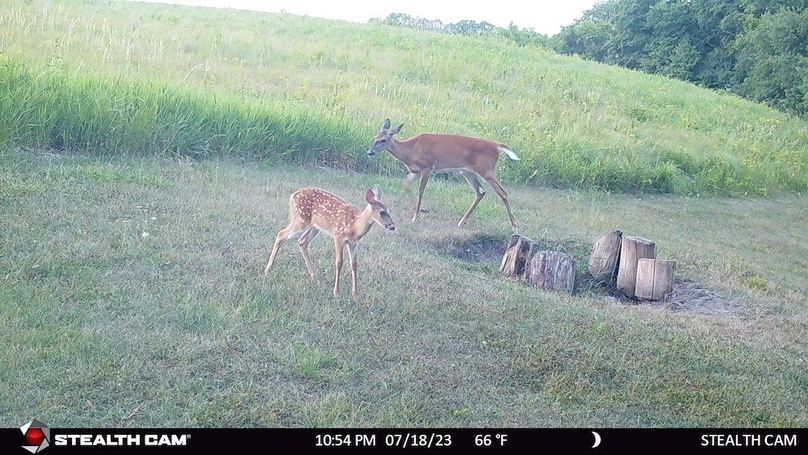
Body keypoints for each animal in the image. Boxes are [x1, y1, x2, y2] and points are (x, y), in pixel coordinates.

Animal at [263, 187, 396, 297]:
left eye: (389, 211)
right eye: (382, 212)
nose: (393, 226)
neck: (355, 225)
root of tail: (292, 196)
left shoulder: (353, 243)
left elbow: (354, 264)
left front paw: (355, 293)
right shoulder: (338, 236)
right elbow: (339, 262)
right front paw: (336, 291)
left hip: (314, 226)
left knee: (302, 241)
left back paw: (314, 277)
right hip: (300, 219)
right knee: (281, 234)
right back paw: (267, 270)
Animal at [367, 119, 519, 230]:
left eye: (382, 140)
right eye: (375, 138)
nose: (369, 152)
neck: (410, 150)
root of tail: (497, 146)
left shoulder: (427, 167)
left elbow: (421, 190)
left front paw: (416, 216)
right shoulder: (415, 170)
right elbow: (406, 185)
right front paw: (422, 211)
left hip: (487, 170)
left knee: (503, 192)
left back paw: (514, 224)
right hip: (467, 172)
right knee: (480, 191)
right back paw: (462, 221)